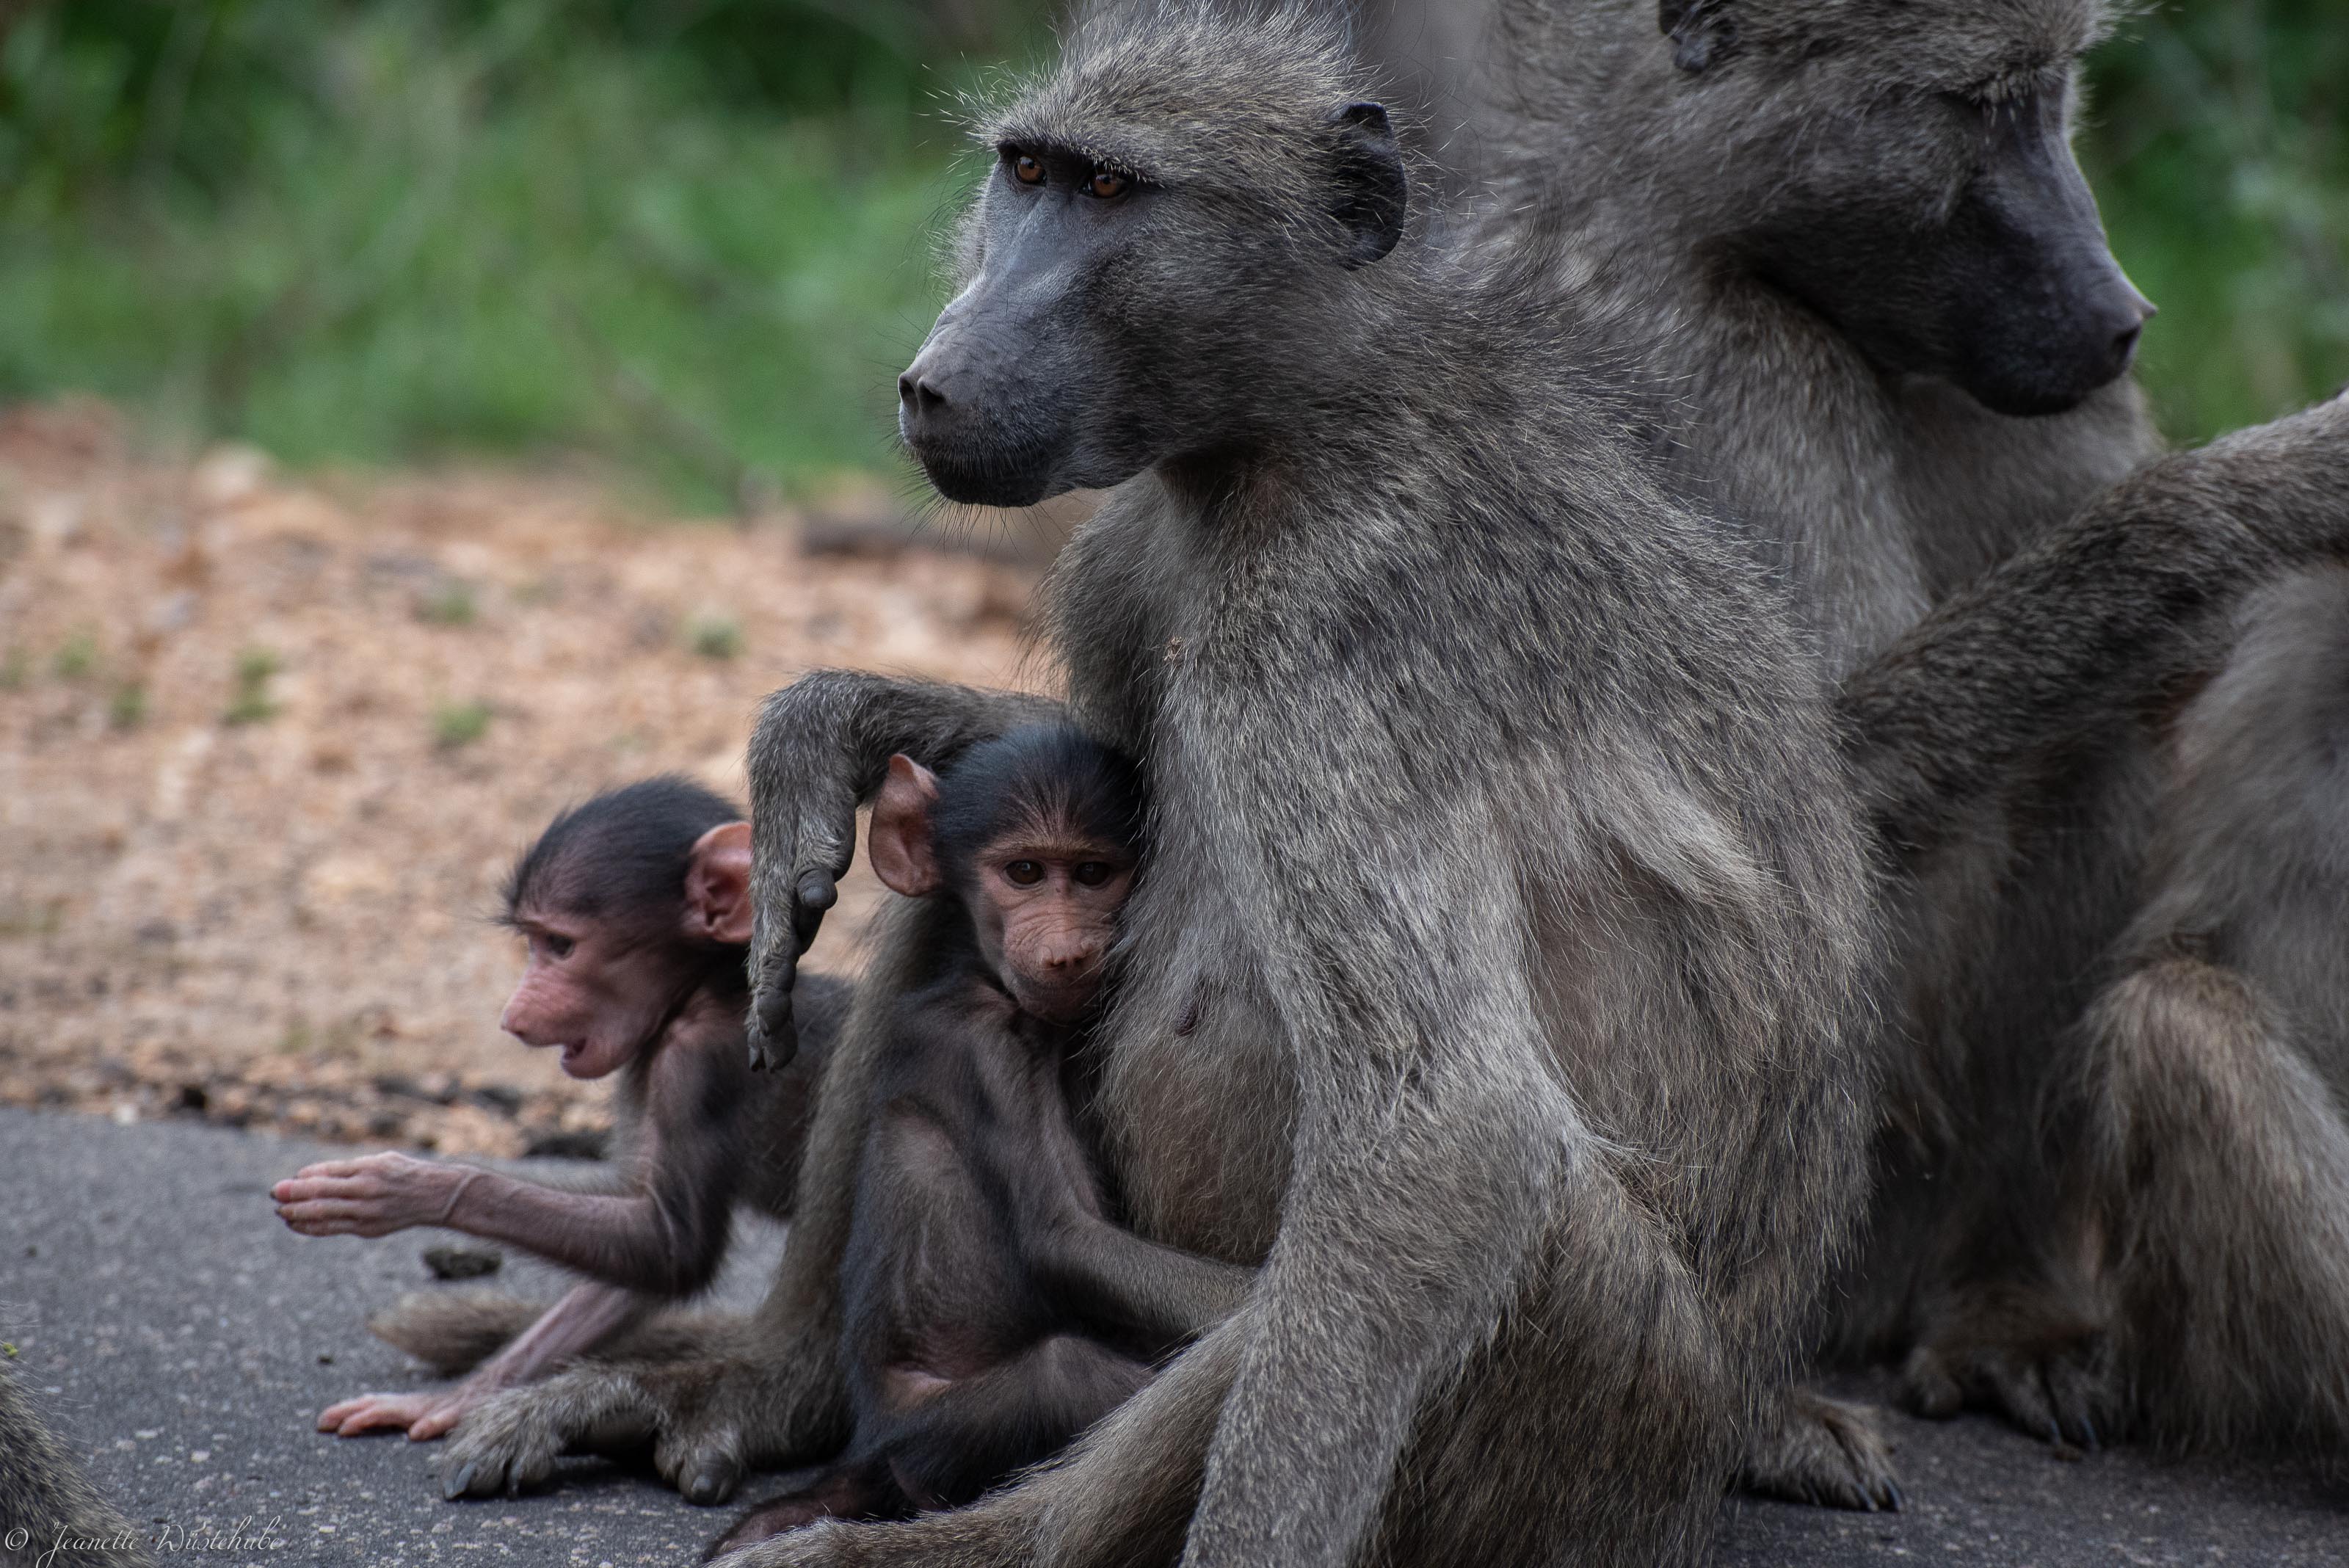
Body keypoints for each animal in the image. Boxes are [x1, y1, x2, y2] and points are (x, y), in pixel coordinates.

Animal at [270, 776, 846, 1462]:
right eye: (533, 942)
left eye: (561, 946)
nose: (514, 1016)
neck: (709, 993)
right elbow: (642, 1266)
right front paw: (458, 1398)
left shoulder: (698, 1063)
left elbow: (673, 1243)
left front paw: (411, 1188)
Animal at [707, 724, 1253, 1556]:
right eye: (1023, 873)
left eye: (1092, 874)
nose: (1066, 949)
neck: (993, 987)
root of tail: (869, 1454)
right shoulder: (982, 1052)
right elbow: (1062, 1237)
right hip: (935, 1434)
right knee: (1065, 1373)